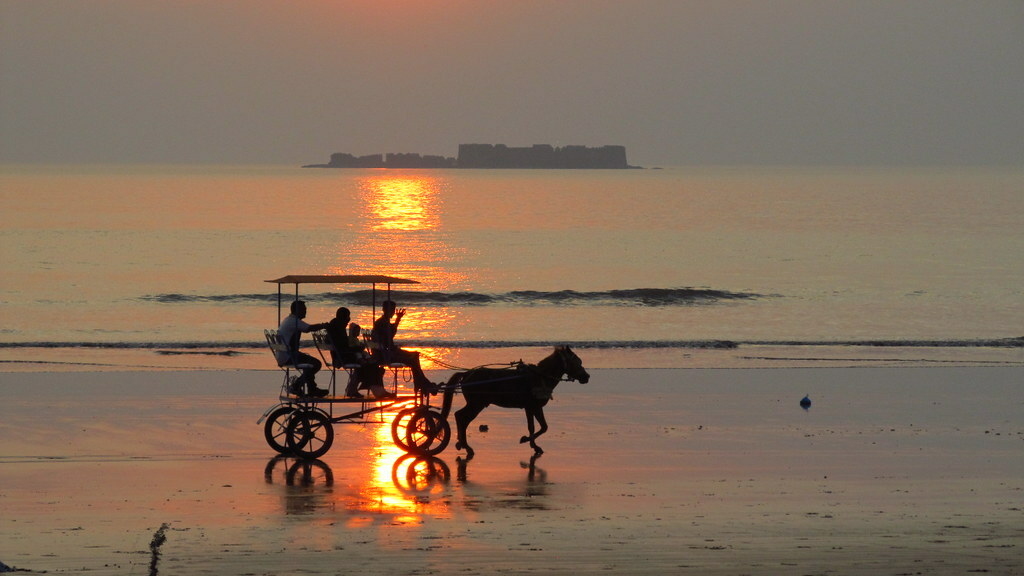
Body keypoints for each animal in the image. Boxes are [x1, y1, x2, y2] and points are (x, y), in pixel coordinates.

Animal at [440, 344, 593, 457]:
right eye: (576, 362)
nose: (586, 377)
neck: (540, 377)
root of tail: (467, 373)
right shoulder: (534, 407)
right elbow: (541, 427)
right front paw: (528, 441)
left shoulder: (531, 408)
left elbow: (537, 427)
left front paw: (532, 444)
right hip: (476, 404)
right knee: (461, 417)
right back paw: (466, 446)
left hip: (475, 404)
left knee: (461, 417)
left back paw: (461, 444)